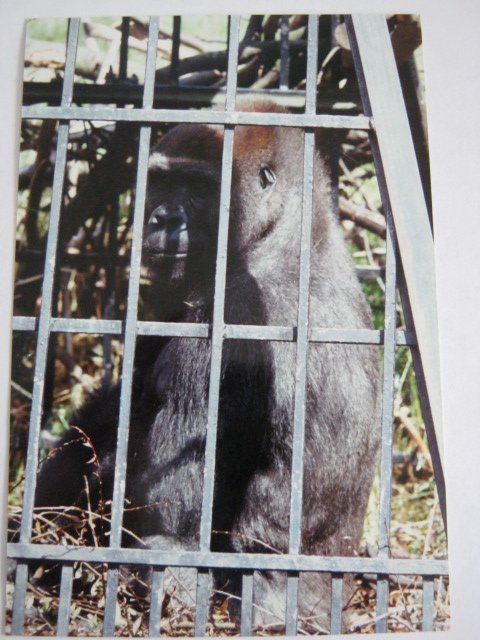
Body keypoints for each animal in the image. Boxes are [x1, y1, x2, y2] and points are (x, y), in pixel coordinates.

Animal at [32, 100, 380, 631]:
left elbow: (169, 514)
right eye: (161, 182)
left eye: (199, 189)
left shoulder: (234, 313)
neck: (290, 231)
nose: (161, 218)